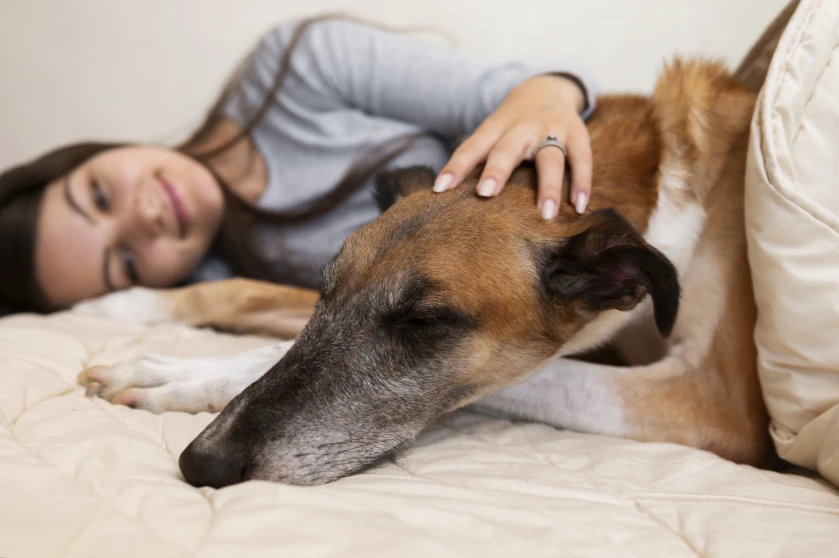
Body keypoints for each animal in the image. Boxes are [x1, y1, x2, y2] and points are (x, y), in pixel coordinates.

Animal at [77, 59, 768, 488]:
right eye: (326, 290)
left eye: (423, 322)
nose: (202, 464)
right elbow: (253, 300)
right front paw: (134, 319)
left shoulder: (713, 401)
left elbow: (535, 376)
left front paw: (176, 375)